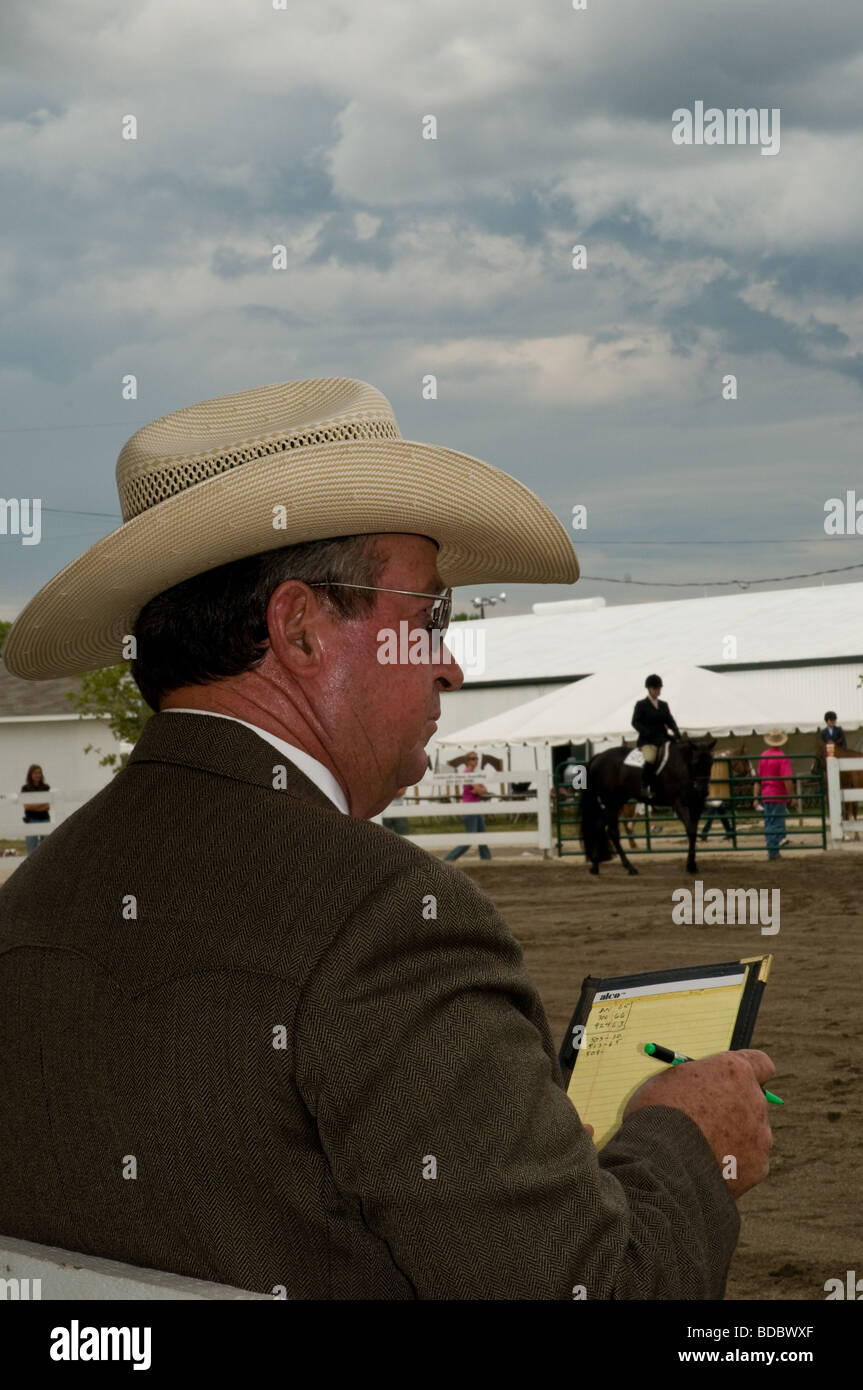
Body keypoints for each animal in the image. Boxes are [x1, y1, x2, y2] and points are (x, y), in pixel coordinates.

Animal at [580, 733, 717, 872]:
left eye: (711, 763)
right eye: (695, 763)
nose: (703, 790)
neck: (682, 766)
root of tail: (598, 756)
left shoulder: (696, 805)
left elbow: (693, 831)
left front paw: (692, 864)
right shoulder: (678, 803)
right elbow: (690, 831)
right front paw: (690, 866)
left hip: (617, 802)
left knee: (605, 827)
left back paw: (609, 866)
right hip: (612, 802)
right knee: (606, 828)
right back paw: (615, 867)